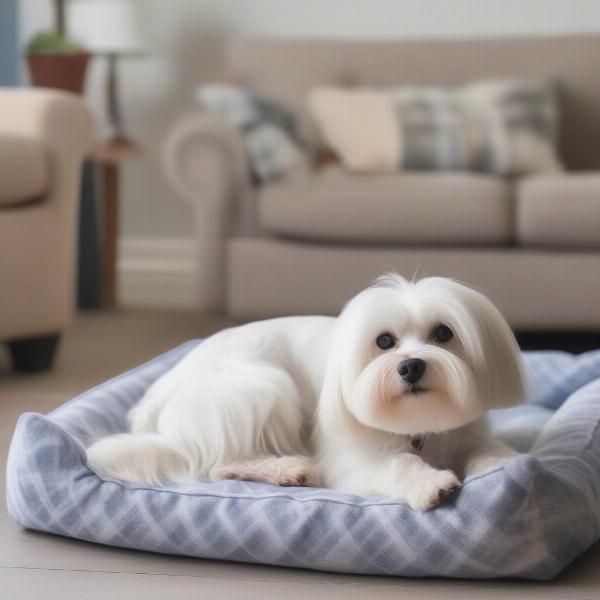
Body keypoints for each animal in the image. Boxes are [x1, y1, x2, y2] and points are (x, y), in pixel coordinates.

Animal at [89, 274, 524, 508]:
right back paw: (288, 468)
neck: (419, 426)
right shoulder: (350, 458)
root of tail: (156, 402)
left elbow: (486, 449)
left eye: (443, 333)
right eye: (384, 341)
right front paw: (430, 483)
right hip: (262, 387)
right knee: (219, 462)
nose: (411, 365)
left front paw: (501, 465)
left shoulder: (466, 431)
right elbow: (398, 464)